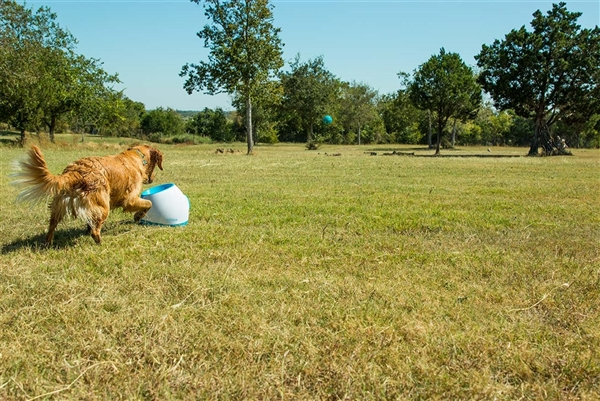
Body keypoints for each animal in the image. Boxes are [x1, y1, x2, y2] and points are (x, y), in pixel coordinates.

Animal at [13, 144, 164, 244]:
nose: (152, 178)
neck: (137, 156)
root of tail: (75, 171)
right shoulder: (130, 200)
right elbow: (148, 203)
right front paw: (138, 216)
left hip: (59, 205)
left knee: (52, 226)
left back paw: (48, 243)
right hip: (104, 206)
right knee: (95, 231)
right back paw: (100, 242)